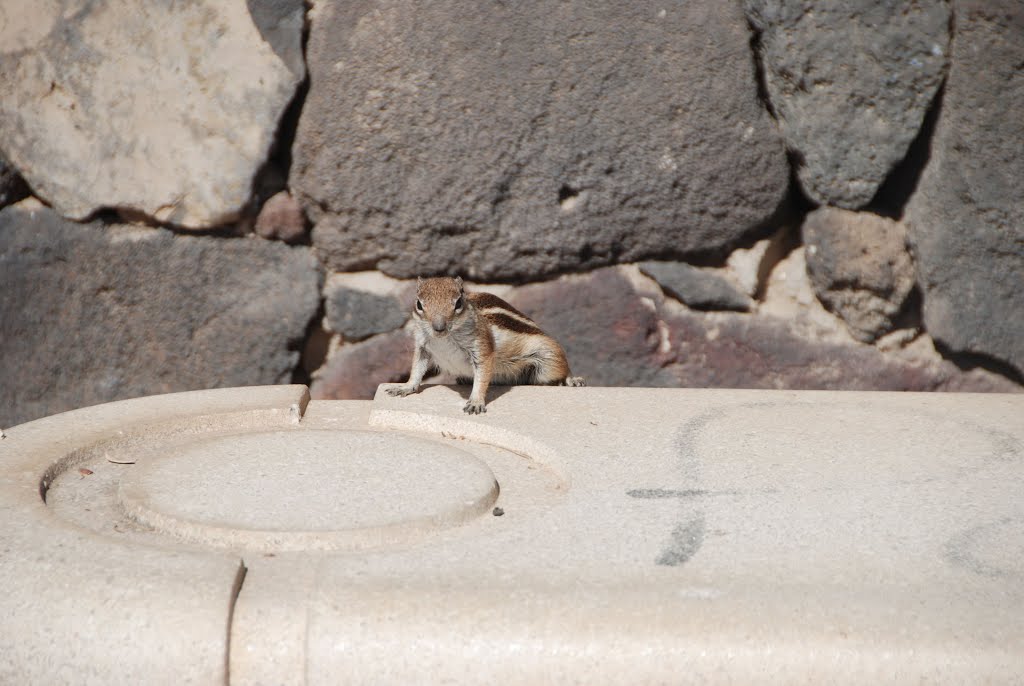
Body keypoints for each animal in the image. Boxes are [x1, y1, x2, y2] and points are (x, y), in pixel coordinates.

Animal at [387, 276, 589, 413]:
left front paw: (476, 401)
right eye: (419, 304)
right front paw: (405, 387)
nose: (439, 327)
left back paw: (571, 380)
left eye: (458, 303)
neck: (443, 339)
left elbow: (482, 377)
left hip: (548, 359)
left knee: (562, 369)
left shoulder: (482, 347)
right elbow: (416, 370)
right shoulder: (422, 347)